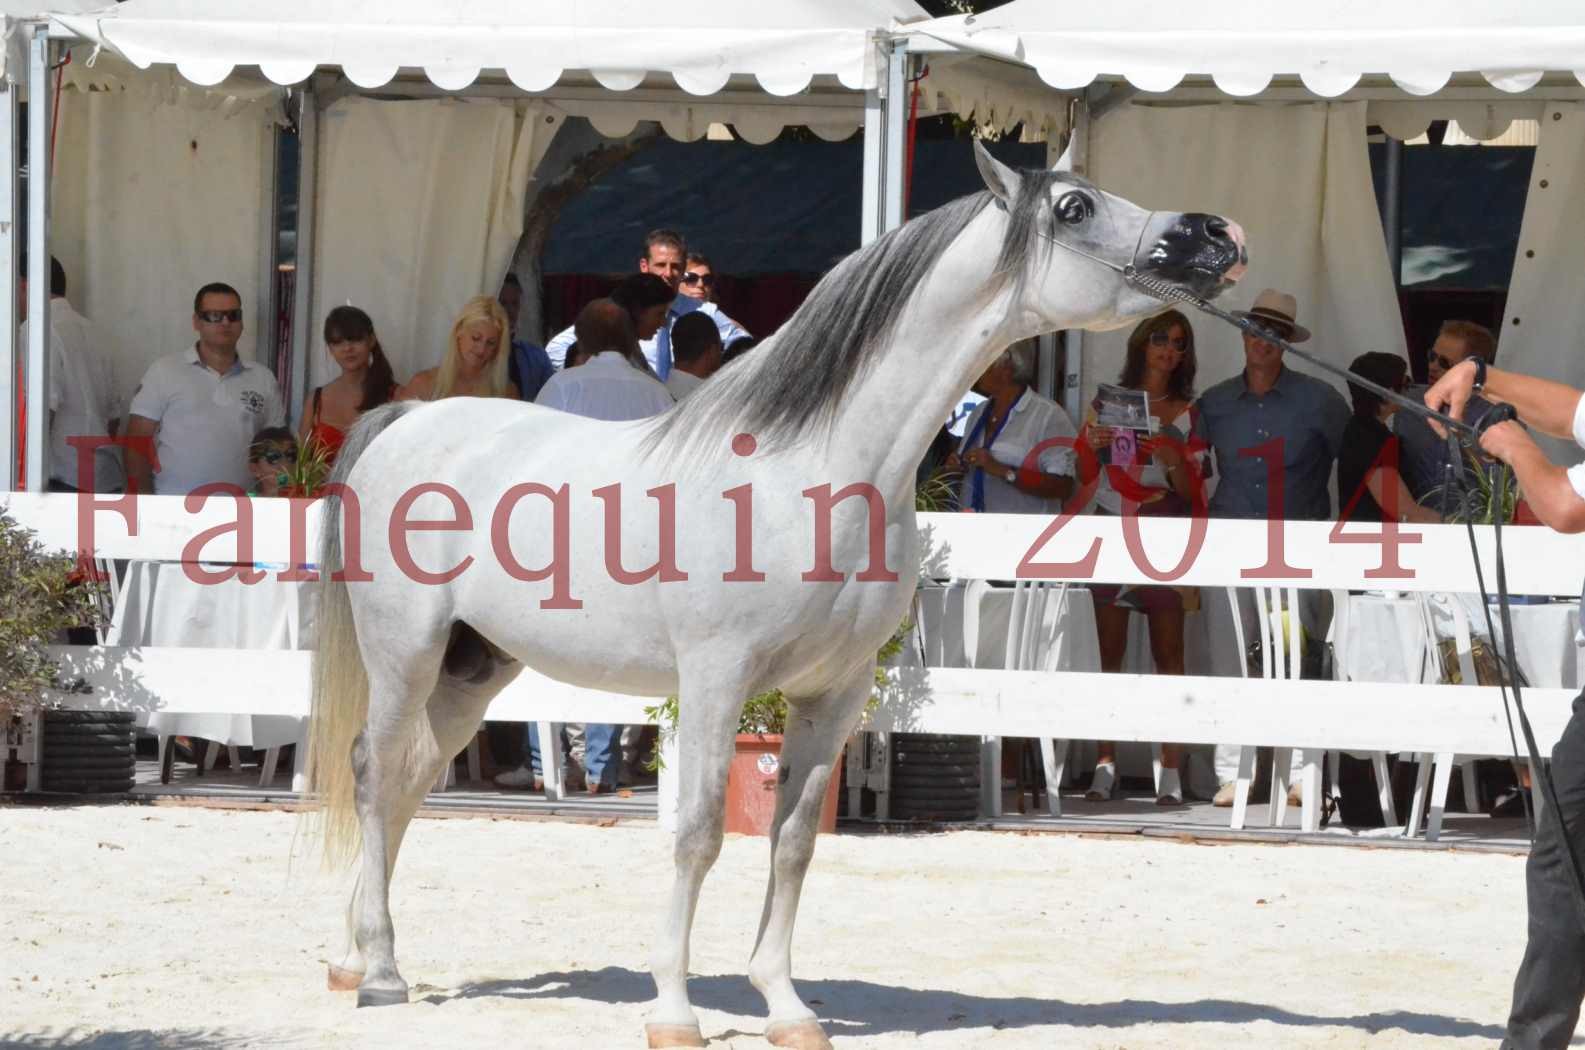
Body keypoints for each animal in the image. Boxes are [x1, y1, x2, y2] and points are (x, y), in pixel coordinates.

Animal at [305, 145, 1248, 1050]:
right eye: (1073, 207)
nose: (1218, 232)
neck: (814, 473)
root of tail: (406, 420)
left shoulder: (833, 692)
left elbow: (792, 842)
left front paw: (786, 1008)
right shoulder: (715, 682)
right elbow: (696, 834)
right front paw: (673, 1011)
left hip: (475, 667)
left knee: (410, 780)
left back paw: (356, 959)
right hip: (407, 654)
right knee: (374, 772)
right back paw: (380, 973)